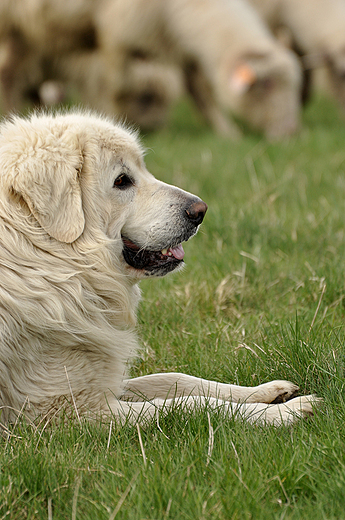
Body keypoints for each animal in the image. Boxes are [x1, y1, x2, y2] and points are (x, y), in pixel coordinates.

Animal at [0, 110, 318, 426]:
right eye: (122, 180)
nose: (200, 210)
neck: (42, 258)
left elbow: (177, 379)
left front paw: (265, 392)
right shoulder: (73, 413)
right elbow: (192, 404)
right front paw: (282, 412)